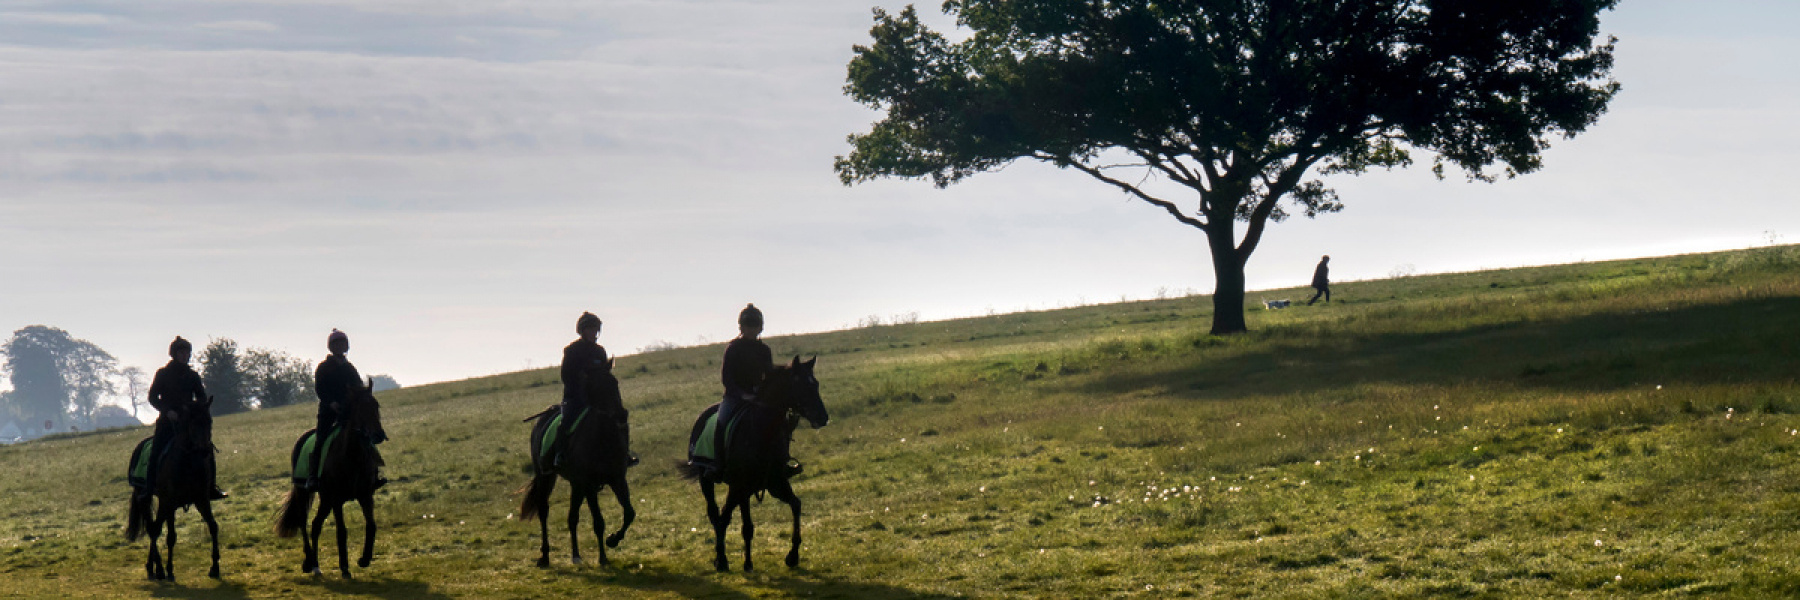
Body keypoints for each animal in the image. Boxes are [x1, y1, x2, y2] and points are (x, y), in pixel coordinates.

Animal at [126, 394, 221, 576]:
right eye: (192, 423)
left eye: (210, 421)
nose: (204, 450)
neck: (189, 463)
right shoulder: (169, 502)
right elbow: (168, 535)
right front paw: (167, 570)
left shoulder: (201, 499)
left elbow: (213, 526)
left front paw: (215, 567)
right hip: (146, 498)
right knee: (152, 528)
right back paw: (156, 568)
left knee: (155, 528)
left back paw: (153, 566)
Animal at [271, 376, 385, 576]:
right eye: (360, 408)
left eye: (375, 405)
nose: (378, 435)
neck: (352, 456)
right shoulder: (337, 500)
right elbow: (342, 531)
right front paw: (345, 567)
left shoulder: (365, 496)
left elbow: (371, 525)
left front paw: (364, 559)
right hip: (304, 492)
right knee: (303, 522)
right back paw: (309, 562)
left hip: (325, 499)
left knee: (316, 525)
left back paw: (316, 565)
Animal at [518, 360, 637, 565]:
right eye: (597, 387)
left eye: (615, 382)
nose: (622, 415)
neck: (602, 438)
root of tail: (543, 418)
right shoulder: (589, 485)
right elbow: (598, 521)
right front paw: (603, 557)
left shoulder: (617, 479)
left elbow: (629, 513)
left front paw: (613, 540)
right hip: (545, 477)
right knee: (543, 510)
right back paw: (545, 555)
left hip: (576, 484)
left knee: (572, 517)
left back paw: (576, 555)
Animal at [676, 354, 824, 569]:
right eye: (801, 386)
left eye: (816, 384)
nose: (823, 417)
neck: (763, 432)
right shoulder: (742, 485)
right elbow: (746, 526)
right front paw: (746, 563)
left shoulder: (775, 482)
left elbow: (796, 505)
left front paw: (792, 555)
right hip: (708, 481)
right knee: (716, 514)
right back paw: (721, 559)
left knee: (724, 515)